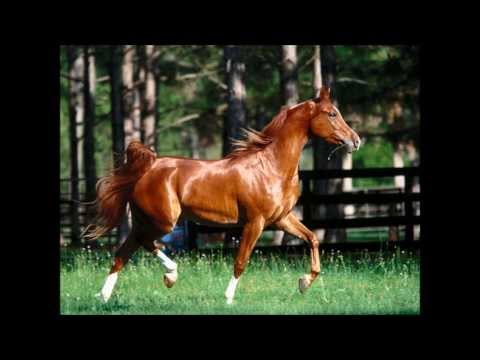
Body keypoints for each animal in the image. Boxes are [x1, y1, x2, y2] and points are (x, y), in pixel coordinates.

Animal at [85, 87, 360, 304]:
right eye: (332, 113)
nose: (356, 141)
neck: (271, 166)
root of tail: (147, 168)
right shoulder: (255, 222)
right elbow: (241, 261)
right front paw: (228, 298)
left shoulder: (282, 218)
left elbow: (313, 239)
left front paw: (303, 283)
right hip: (163, 220)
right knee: (142, 243)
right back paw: (171, 274)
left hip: (147, 219)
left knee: (123, 252)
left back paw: (104, 296)